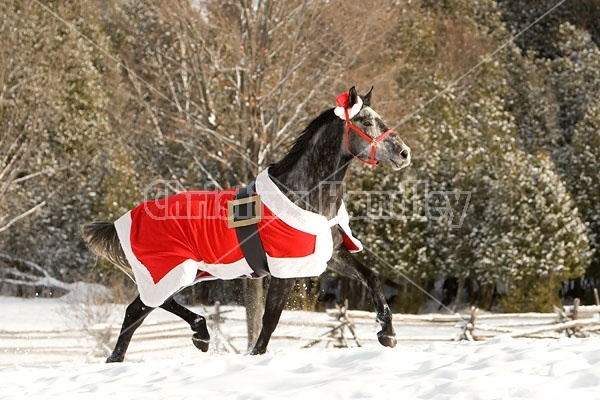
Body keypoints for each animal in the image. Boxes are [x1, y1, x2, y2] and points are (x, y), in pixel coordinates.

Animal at [82, 87, 410, 362]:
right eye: (366, 122)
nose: (404, 153)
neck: (304, 196)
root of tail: (125, 220)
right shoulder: (283, 271)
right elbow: (270, 318)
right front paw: (256, 355)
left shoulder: (332, 256)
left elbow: (371, 277)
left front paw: (388, 333)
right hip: (170, 270)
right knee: (139, 309)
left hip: (182, 271)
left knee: (144, 308)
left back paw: (193, 336)